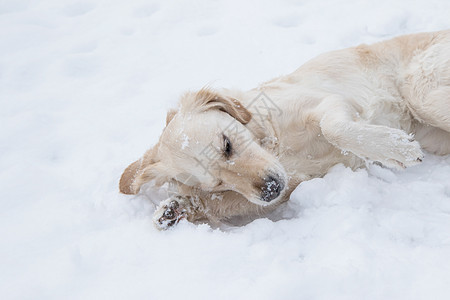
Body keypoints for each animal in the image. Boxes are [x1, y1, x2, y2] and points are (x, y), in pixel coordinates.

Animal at [118, 30, 450, 229]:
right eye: (217, 183)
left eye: (227, 145)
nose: (269, 189)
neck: (275, 141)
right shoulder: (290, 184)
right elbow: (224, 204)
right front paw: (175, 208)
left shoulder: (329, 101)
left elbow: (333, 127)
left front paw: (396, 148)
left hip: (421, 93)